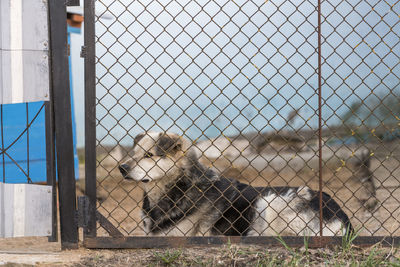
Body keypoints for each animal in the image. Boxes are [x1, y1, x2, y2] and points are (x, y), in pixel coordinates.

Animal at [119, 132, 354, 237]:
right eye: (134, 153)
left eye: (149, 155)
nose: (122, 167)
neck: (178, 186)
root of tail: (341, 215)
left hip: (269, 202)